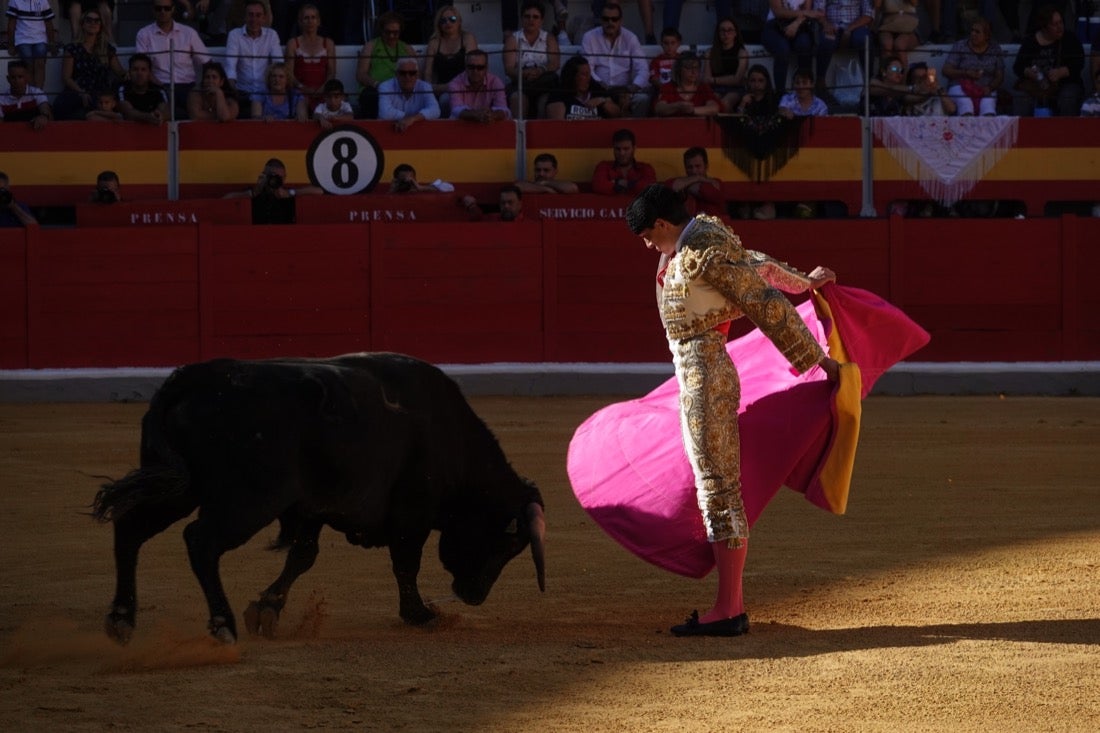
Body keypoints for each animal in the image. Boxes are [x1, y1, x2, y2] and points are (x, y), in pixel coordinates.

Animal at [92, 352, 547, 642]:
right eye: (508, 543)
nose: (475, 596)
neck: (451, 437)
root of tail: (193, 378)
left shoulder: (311, 508)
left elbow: (303, 556)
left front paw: (268, 609)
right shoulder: (411, 514)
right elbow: (405, 563)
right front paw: (419, 614)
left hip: (176, 486)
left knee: (129, 527)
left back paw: (121, 618)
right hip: (247, 501)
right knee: (200, 541)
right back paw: (222, 625)